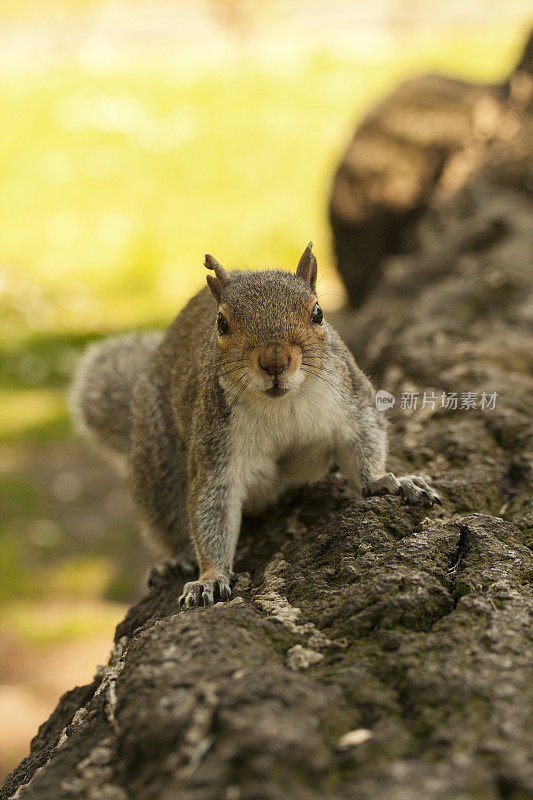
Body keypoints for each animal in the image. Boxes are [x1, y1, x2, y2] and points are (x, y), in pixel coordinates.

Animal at [70, 244, 440, 608]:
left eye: (318, 313)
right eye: (221, 323)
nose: (274, 362)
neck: (281, 404)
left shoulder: (354, 402)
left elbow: (366, 444)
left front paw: (388, 482)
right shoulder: (214, 444)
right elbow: (211, 506)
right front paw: (210, 577)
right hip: (158, 461)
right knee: (169, 518)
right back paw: (176, 558)